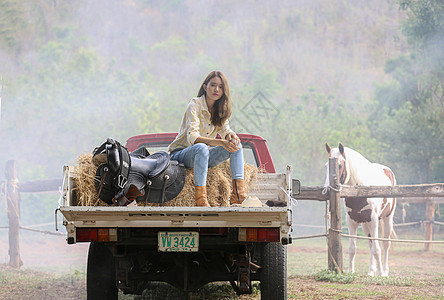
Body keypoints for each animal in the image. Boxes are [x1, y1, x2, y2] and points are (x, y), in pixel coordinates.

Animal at [324, 143, 398, 276]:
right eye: (326, 165)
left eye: (339, 165)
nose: (326, 188)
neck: (361, 190)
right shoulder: (352, 221)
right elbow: (352, 248)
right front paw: (351, 271)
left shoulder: (373, 220)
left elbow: (377, 248)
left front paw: (380, 273)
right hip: (365, 224)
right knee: (370, 243)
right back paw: (371, 271)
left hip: (387, 218)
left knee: (385, 243)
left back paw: (385, 271)